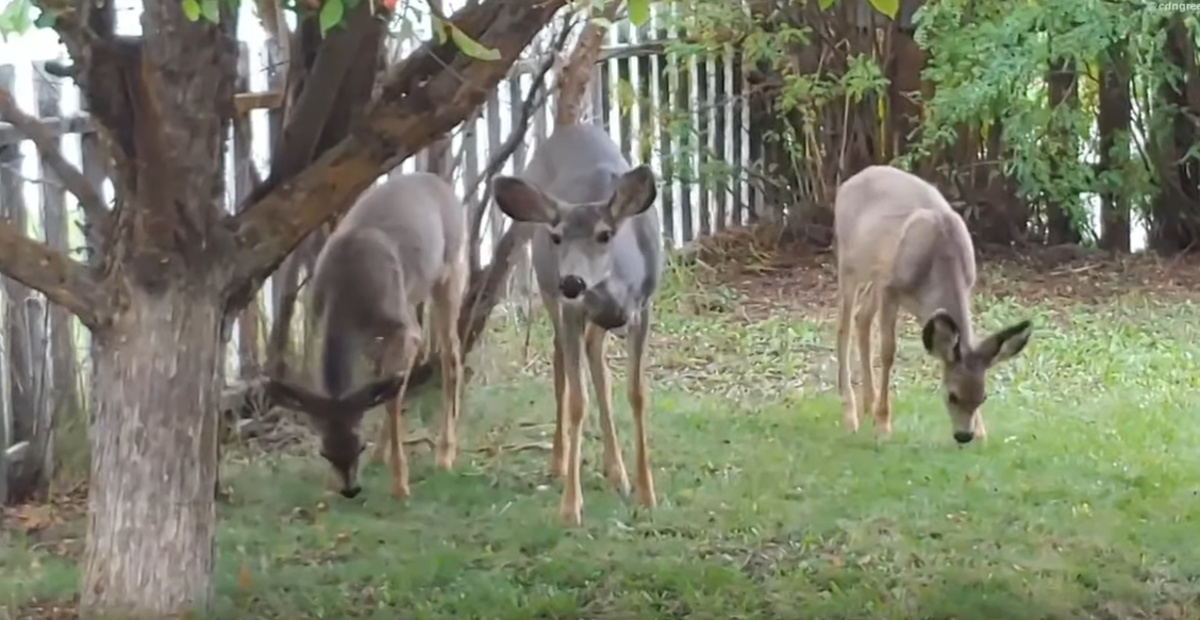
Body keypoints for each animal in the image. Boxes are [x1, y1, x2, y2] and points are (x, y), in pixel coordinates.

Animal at [267, 171, 468, 501]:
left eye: (359, 444)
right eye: (324, 452)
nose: (350, 489)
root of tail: (437, 180)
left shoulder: (400, 328)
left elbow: (392, 398)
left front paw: (400, 485)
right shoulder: (319, 320)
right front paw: (329, 484)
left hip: (450, 270)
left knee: (451, 355)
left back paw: (445, 455)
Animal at [489, 123, 667, 525]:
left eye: (604, 234)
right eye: (557, 237)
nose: (572, 282)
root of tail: (571, 127)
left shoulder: (643, 308)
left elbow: (637, 393)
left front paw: (647, 493)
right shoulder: (573, 310)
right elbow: (576, 400)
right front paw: (571, 508)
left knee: (596, 360)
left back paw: (617, 472)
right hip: (549, 294)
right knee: (561, 367)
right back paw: (559, 462)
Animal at [835, 164, 1032, 443]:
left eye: (982, 397)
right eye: (952, 395)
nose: (964, 435)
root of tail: (852, 179)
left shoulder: (933, 298)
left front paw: (982, 432)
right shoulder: (891, 289)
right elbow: (888, 352)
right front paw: (883, 426)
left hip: (876, 275)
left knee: (861, 317)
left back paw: (866, 407)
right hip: (849, 263)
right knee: (844, 327)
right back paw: (851, 416)